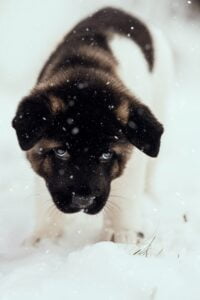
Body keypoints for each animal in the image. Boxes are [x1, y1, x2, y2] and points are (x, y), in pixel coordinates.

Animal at [12, 7, 172, 245]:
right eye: (61, 152)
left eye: (106, 155)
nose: (83, 200)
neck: (86, 68)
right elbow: (43, 195)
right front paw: (44, 237)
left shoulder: (134, 160)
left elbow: (127, 193)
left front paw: (120, 232)